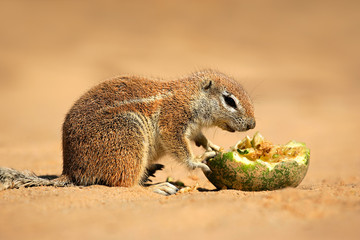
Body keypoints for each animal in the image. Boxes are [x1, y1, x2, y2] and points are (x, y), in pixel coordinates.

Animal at [0, 69, 256, 195]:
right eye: (229, 100)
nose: (252, 124)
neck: (190, 96)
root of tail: (71, 171)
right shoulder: (172, 121)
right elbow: (180, 148)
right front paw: (198, 160)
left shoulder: (192, 127)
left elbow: (198, 137)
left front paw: (211, 145)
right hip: (128, 135)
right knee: (125, 184)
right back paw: (156, 186)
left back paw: (151, 172)